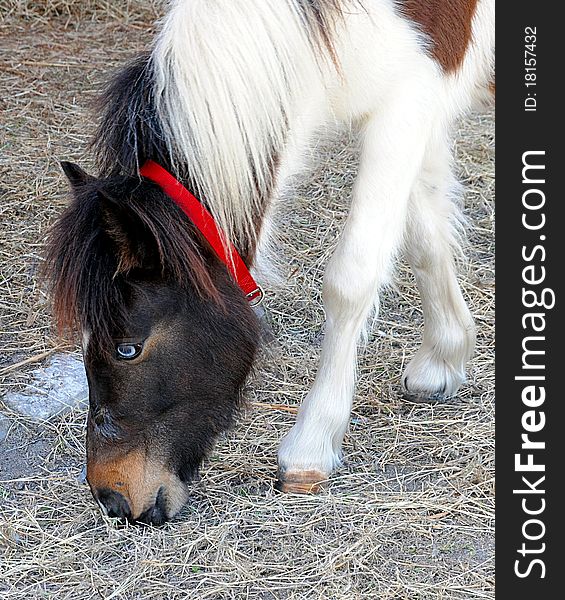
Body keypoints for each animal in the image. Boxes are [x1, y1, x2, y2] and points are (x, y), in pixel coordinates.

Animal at [45, 0, 494, 524]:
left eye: (127, 348)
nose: (111, 497)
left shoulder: (405, 102)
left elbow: (352, 278)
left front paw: (311, 445)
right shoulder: (420, 106)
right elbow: (423, 236)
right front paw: (444, 356)